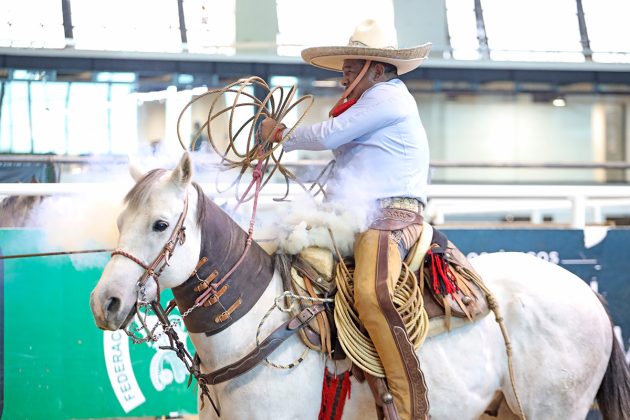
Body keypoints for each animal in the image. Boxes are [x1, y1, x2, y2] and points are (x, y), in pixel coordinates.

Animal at [90, 155, 630, 420]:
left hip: (554, 410)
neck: (256, 331)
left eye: (161, 224)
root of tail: (592, 295)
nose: (105, 302)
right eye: (118, 222)